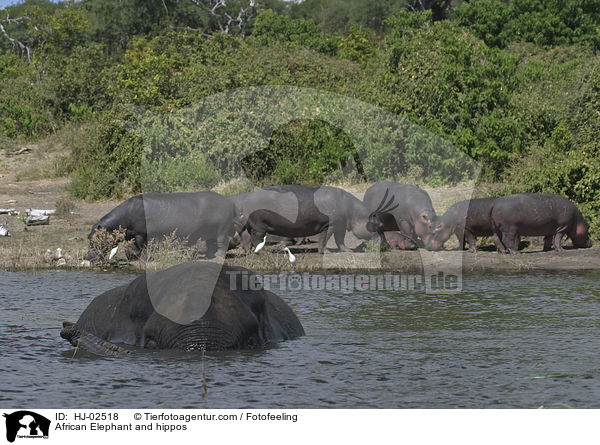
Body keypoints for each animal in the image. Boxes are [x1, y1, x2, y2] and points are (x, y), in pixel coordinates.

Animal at [85, 189, 239, 258]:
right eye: (88, 237)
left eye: (95, 238)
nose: (87, 257)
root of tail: (229, 201)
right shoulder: (134, 234)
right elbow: (133, 247)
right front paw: (131, 256)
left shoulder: (141, 233)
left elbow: (141, 246)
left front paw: (142, 258)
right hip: (210, 232)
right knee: (211, 244)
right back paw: (207, 257)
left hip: (221, 230)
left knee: (222, 243)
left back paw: (218, 257)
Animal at [241, 185, 396, 253]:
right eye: (378, 226)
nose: (387, 245)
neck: (354, 212)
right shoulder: (331, 224)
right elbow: (325, 238)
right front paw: (326, 252)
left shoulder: (340, 224)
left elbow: (340, 240)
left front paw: (348, 251)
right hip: (259, 227)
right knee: (256, 239)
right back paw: (262, 251)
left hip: (252, 227)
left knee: (247, 238)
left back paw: (249, 252)